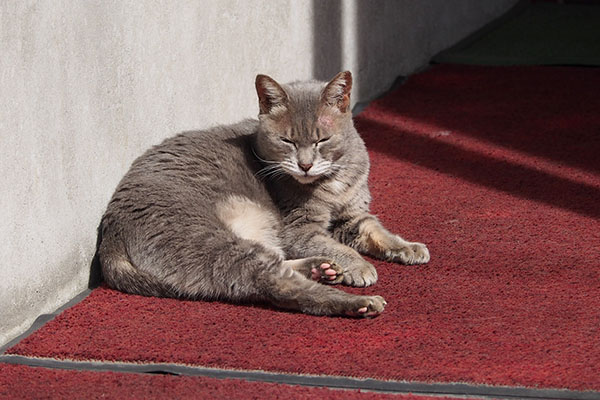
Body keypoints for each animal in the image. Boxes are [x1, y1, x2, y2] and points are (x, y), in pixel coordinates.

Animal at [97, 71, 432, 316]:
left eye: (322, 140)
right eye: (287, 141)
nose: (305, 165)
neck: (331, 181)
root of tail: (111, 235)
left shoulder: (353, 214)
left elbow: (375, 230)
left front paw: (409, 247)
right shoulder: (299, 228)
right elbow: (339, 247)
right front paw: (360, 266)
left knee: (276, 266)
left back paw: (320, 268)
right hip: (209, 240)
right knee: (277, 285)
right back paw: (357, 300)